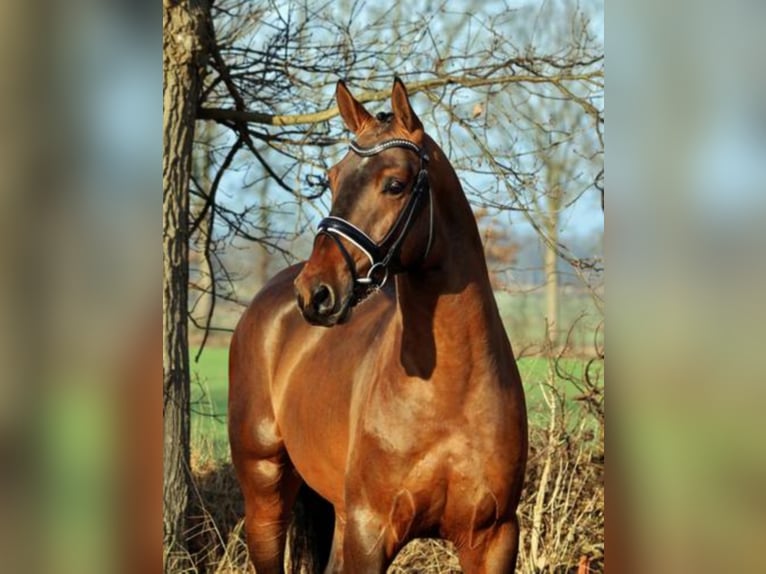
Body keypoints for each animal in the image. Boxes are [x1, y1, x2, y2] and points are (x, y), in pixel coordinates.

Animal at [228, 77, 528, 574]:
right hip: (265, 492)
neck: (450, 388)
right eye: (332, 178)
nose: (316, 292)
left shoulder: (493, 539)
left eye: (395, 184)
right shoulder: (371, 533)